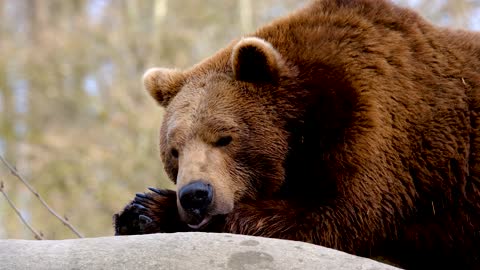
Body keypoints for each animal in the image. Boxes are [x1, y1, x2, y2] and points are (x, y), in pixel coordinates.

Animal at [114, 0, 480, 268]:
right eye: (174, 151)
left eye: (225, 137)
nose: (195, 195)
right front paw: (137, 213)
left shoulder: (379, 127)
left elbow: (340, 213)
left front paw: (152, 206)